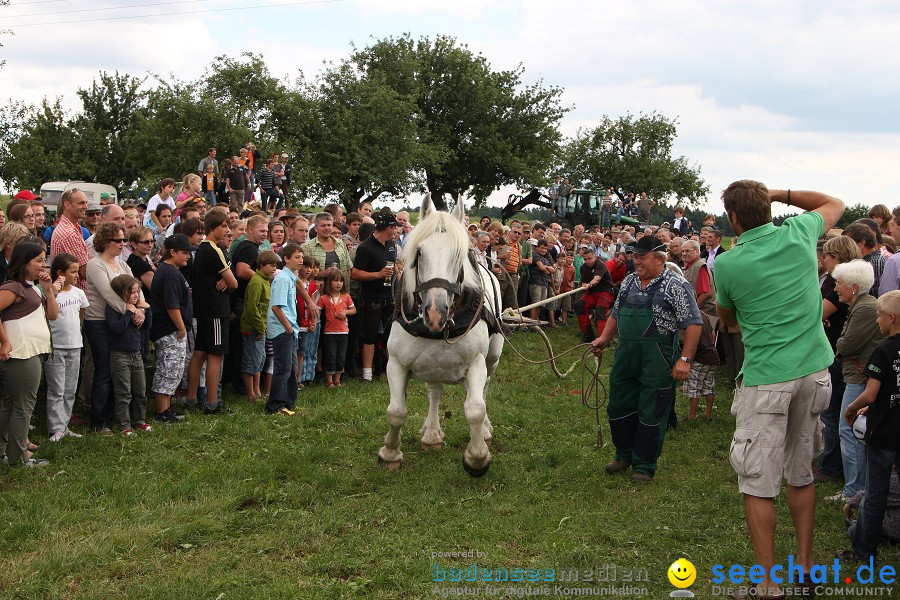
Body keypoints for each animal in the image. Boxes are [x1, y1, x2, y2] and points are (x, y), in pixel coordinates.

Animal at [378, 195, 506, 476]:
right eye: (419, 253)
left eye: (459, 254)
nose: (435, 312)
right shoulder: (396, 363)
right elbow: (396, 411)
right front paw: (390, 453)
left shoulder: (477, 363)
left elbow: (475, 409)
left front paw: (477, 458)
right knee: (435, 392)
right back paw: (432, 434)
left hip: (492, 358)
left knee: (486, 387)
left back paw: (485, 430)